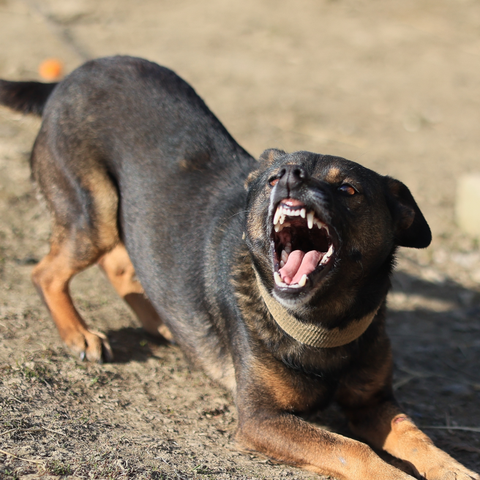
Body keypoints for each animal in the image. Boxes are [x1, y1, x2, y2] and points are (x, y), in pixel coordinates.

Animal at [1, 56, 478, 480]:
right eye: (273, 179)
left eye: (348, 189)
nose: (290, 174)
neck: (320, 323)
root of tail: (67, 81)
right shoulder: (261, 419)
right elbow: (352, 449)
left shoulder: (373, 404)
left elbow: (418, 438)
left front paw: (455, 470)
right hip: (93, 212)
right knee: (46, 272)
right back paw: (79, 334)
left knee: (120, 266)